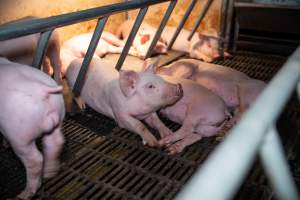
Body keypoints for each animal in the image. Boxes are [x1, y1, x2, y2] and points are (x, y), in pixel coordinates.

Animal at [0, 57, 65, 199]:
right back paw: (49, 174)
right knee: (55, 143)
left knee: (35, 160)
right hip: (59, 117)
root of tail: (42, 89)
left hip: (19, 136)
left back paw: (24, 194)